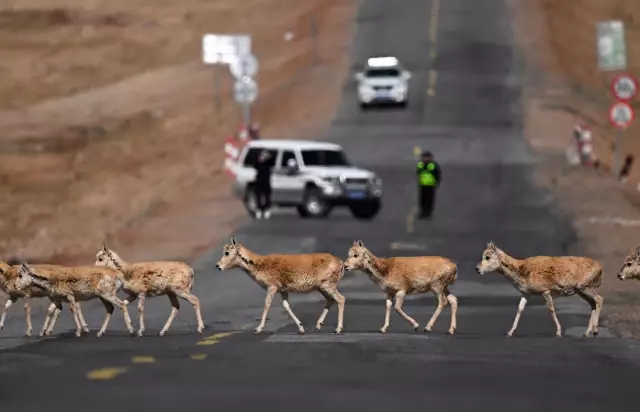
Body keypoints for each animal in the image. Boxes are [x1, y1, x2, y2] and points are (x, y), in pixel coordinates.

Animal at [215, 238, 344, 334]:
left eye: (227, 252)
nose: (217, 266)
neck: (259, 264)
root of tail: (340, 262)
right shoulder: (283, 290)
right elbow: (286, 306)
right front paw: (301, 328)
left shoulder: (271, 287)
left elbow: (267, 304)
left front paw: (258, 328)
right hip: (321, 287)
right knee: (330, 300)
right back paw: (318, 325)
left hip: (327, 285)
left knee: (341, 299)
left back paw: (337, 329)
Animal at [476, 241, 604, 338]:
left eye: (487, 257)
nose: (477, 269)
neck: (521, 270)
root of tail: (600, 268)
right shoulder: (526, 293)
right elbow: (520, 309)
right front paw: (510, 332)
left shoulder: (545, 291)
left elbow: (551, 309)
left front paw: (558, 332)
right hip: (581, 290)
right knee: (593, 303)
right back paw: (587, 332)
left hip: (584, 287)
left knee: (599, 299)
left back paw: (595, 331)